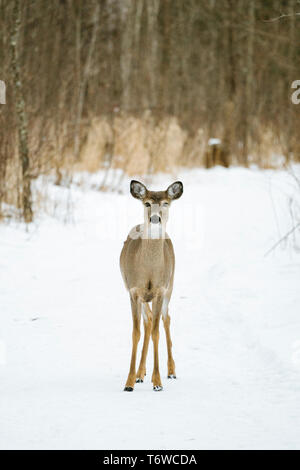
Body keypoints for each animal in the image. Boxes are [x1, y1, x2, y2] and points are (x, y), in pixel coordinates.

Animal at [119, 178, 183, 392]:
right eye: (146, 203)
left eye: (166, 203)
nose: (155, 219)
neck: (148, 271)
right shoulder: (133, 291)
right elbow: (136, 333)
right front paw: (129, 382)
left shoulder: (159, 291)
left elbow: (156, 333)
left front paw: (158, 382)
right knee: (147, 322)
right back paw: (140, 374)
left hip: (170, 286)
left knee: (166, 319)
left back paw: (171, 371)